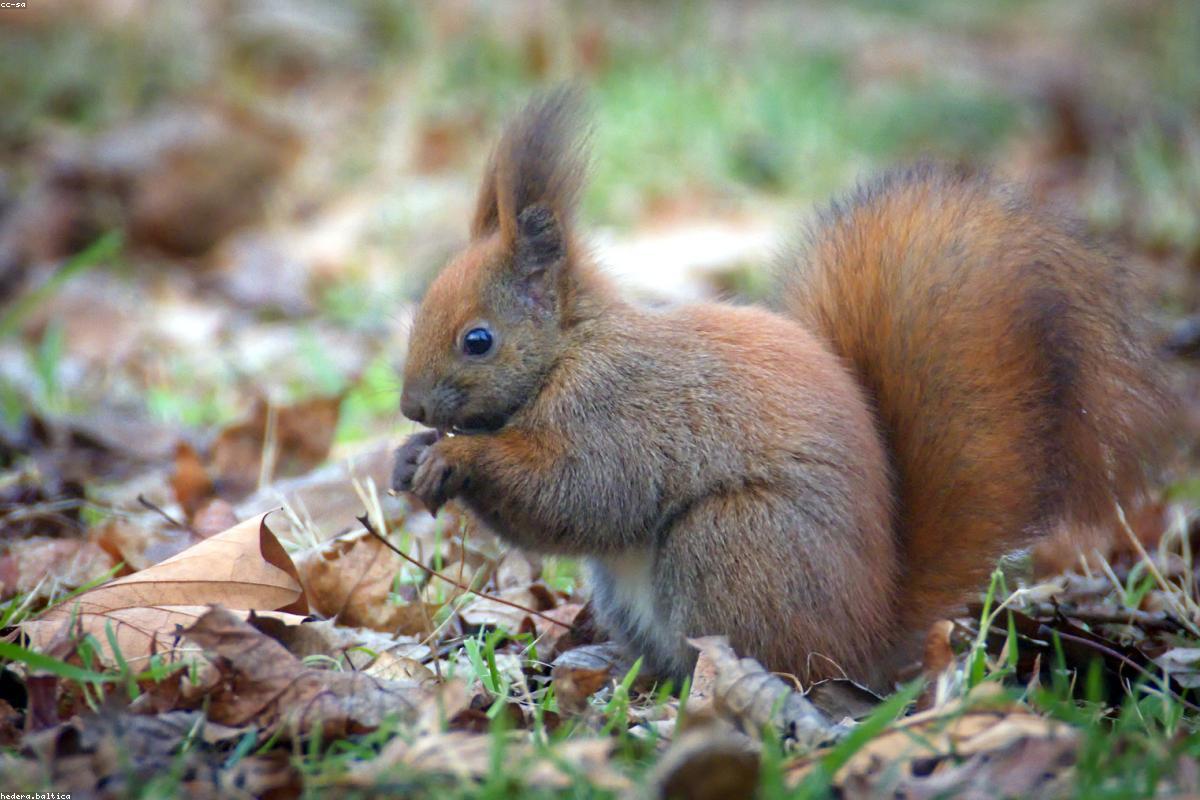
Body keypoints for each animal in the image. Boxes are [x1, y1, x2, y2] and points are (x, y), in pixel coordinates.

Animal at [392, 89, 1169, 688]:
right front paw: (410, 456)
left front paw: (456, 458)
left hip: (734, 546)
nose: (410, 406)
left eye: (478, 340)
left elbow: (578, 493)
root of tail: (868, 636)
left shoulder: (619, 409)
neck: (570, 350)